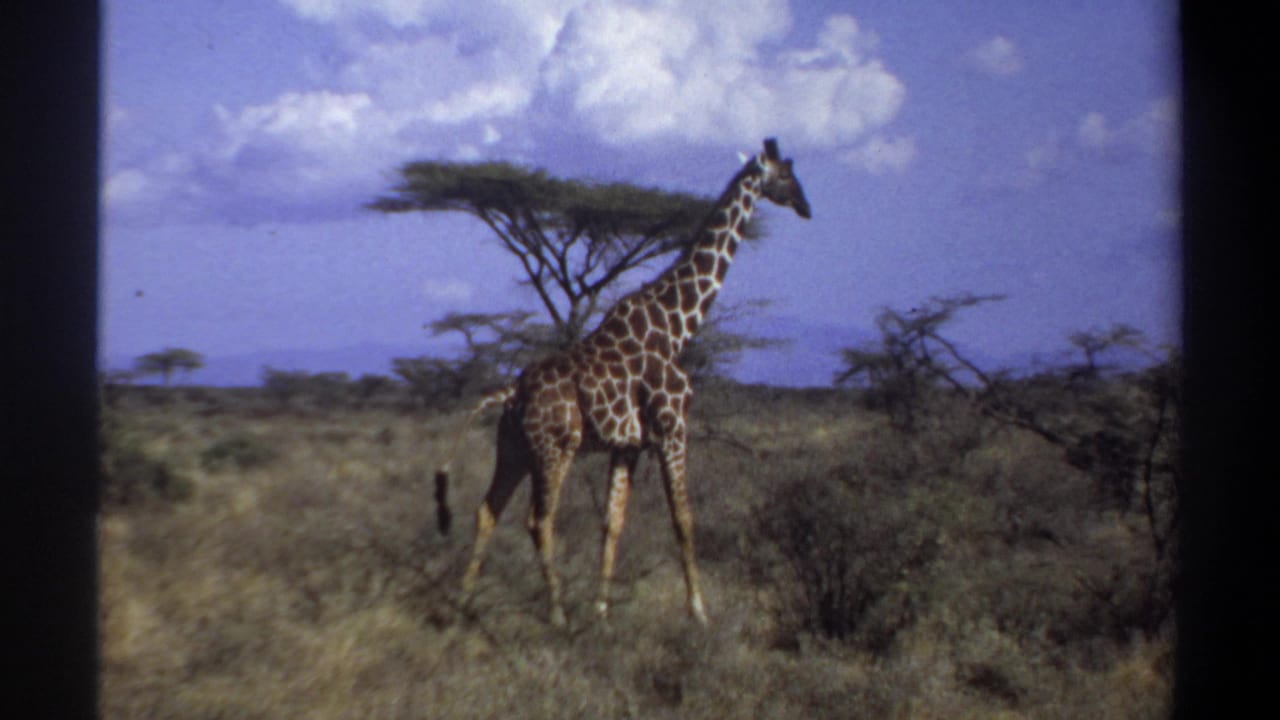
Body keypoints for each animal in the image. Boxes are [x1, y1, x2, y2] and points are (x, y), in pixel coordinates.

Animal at [434, 138, 810, 626]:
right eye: (785, 174)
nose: (806, 206)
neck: (677, 326)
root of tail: (512, 391)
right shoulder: (672, 428)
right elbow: (683, 520)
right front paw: (699, 612)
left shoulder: (628, 444)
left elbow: (612, 523)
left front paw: (601, 612)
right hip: (556, 448)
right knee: (539, 520)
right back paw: (557, 613)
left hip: (514, 449)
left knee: (487, 511)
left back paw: (463, 603)